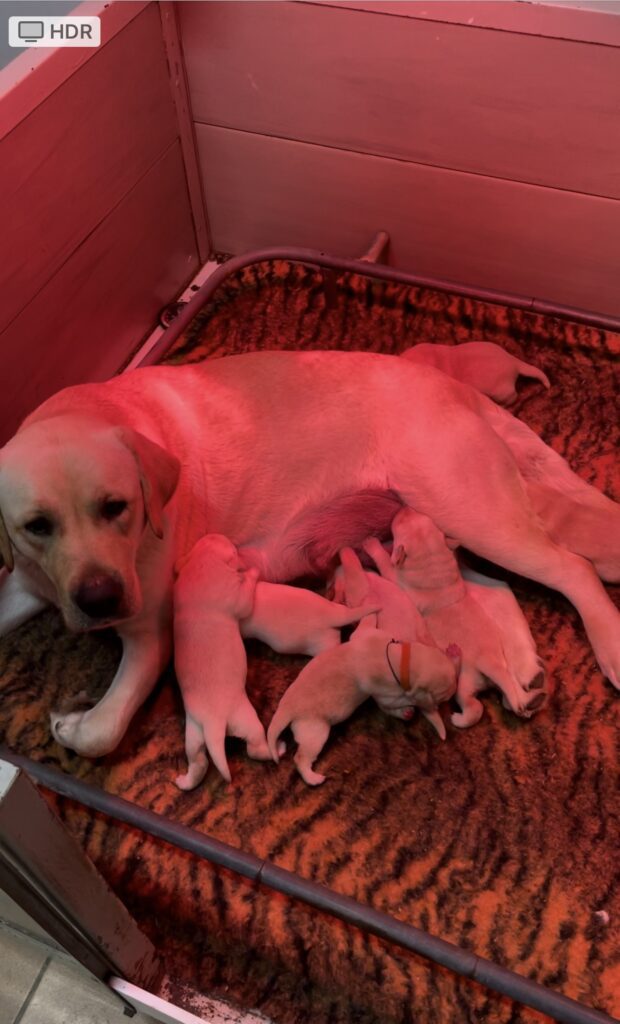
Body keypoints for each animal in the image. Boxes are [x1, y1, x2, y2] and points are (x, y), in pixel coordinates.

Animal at [172, 532, 266, 786]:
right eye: (234, 550)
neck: (201, 562)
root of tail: (213, 723)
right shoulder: (235, 596)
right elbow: (245, 598)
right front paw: (252, 571)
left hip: (194, 731)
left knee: (198, 760)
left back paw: (183, 781)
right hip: (244, 718)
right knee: (255, 746)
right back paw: (275, 750)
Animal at [266, 622, 459, 782]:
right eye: (443, 698)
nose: (441, 704)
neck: (402, 660)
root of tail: (286, 708)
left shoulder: (368, 635)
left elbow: (364, 628)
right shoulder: (385, 692)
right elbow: (390, 703)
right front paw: (407, 709)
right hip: (314, 731)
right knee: (301, 758)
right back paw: (313, 778)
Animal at [364, 512, 545, 729]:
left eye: (399, 524)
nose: (404, 510)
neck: (435, 572)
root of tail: (490, 663)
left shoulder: (396, 577)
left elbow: (384, 562)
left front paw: (372, 544)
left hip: (464, 681)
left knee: (473, 705)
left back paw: (457, 719)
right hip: (499, 669)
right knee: (510, 687)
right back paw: (527, 700)